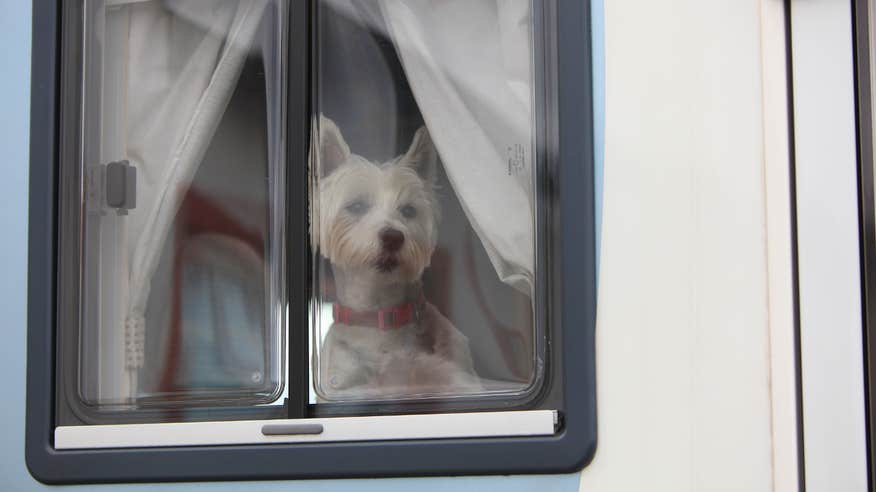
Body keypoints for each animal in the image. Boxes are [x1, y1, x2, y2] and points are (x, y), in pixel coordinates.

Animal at [312, 117, 482, 402]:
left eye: (409, 211)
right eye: (356, 206)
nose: (393, 237)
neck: (380, 317)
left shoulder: (450, 376)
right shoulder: (346, 386)